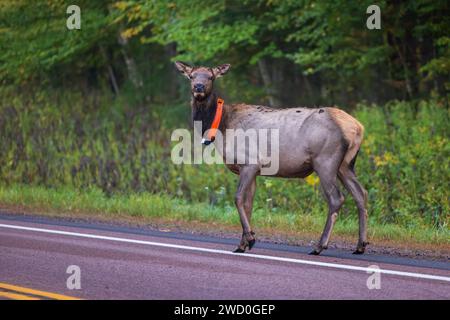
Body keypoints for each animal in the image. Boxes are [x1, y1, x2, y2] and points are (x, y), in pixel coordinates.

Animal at [174, 61, 368, 254]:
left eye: (211, 77)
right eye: (191, 76)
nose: (198, 87)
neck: (221, 126)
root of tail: (358, 127)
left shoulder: (249, 162)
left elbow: (238, 198)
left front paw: (250, 239)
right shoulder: (253, 170)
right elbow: (248, 204)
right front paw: (243, 244)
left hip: (325, 160)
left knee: (336, 198)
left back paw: (320, 245)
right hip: (345, 165)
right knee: (361, 193)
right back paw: (360, 245)